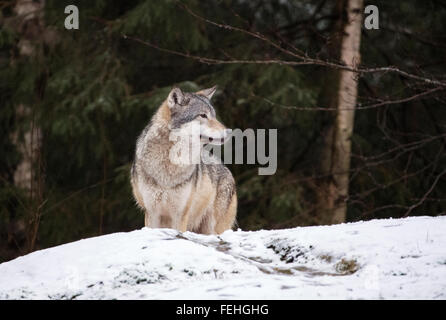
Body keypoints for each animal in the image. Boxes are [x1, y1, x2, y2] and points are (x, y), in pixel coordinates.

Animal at [131, 86, 237, 234]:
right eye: (203, 115)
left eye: (214, 115)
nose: (230, 132)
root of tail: (226, 169)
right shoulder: (152, 213)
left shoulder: (180, 214)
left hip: (213, 228)